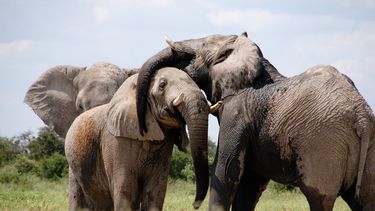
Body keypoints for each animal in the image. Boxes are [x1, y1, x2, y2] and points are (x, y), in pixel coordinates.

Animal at [65, 67, 220, 209]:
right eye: (162, 85)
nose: (195, 205)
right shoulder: (116, 140)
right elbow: (125, 190)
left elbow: (155, 192)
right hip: (73, 165)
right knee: (77, 198)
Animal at [136, 32, 375, 210]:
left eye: (201, 46)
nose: (143, 127)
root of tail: (361, 116)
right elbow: (250, 184)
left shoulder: (236, 110)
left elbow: (226, 171)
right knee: (365, 200)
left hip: (322, 145)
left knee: (319, 198)